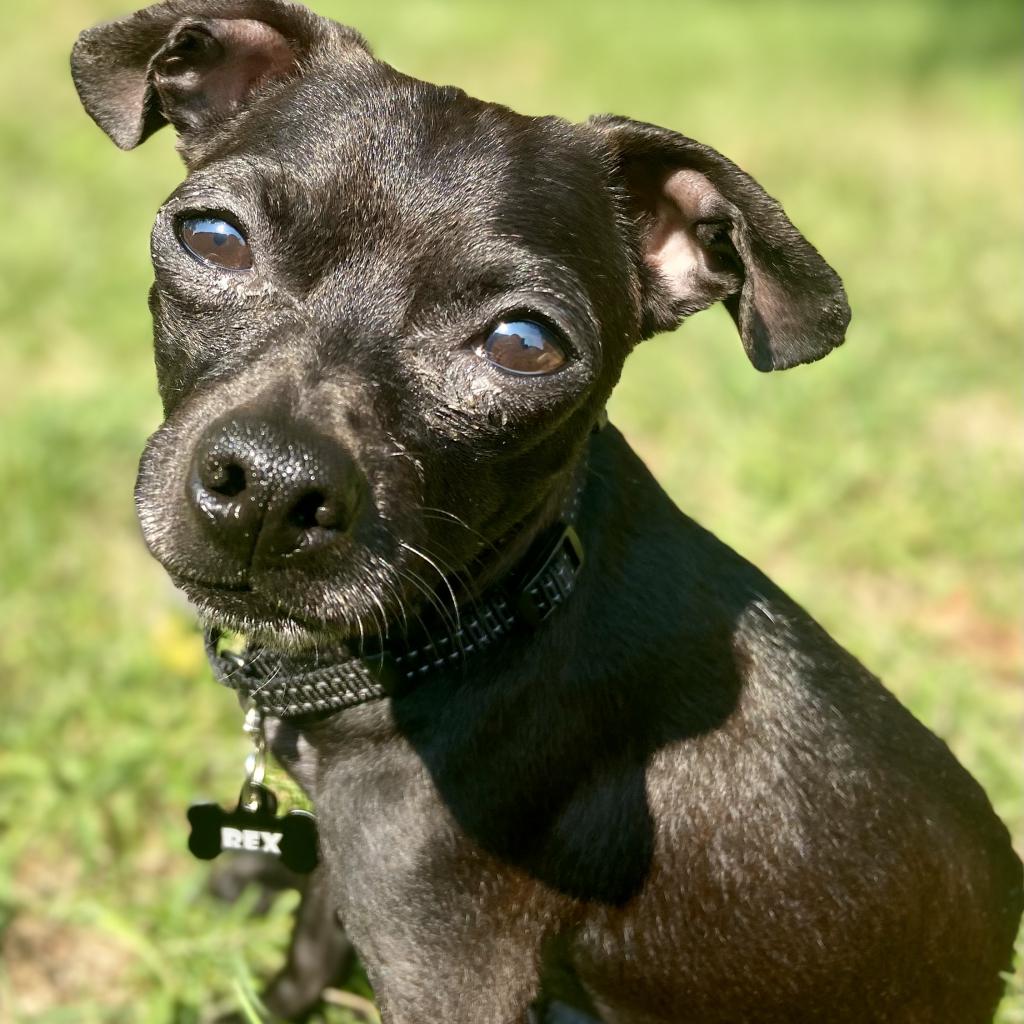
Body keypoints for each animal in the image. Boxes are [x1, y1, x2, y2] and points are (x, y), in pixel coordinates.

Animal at [70, 4, 1015, 1019]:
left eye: (524, 345)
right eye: (213, 237)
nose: (274, 485)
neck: (491, 617)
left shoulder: (447, 963)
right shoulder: (360, 871)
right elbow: (309, 950)